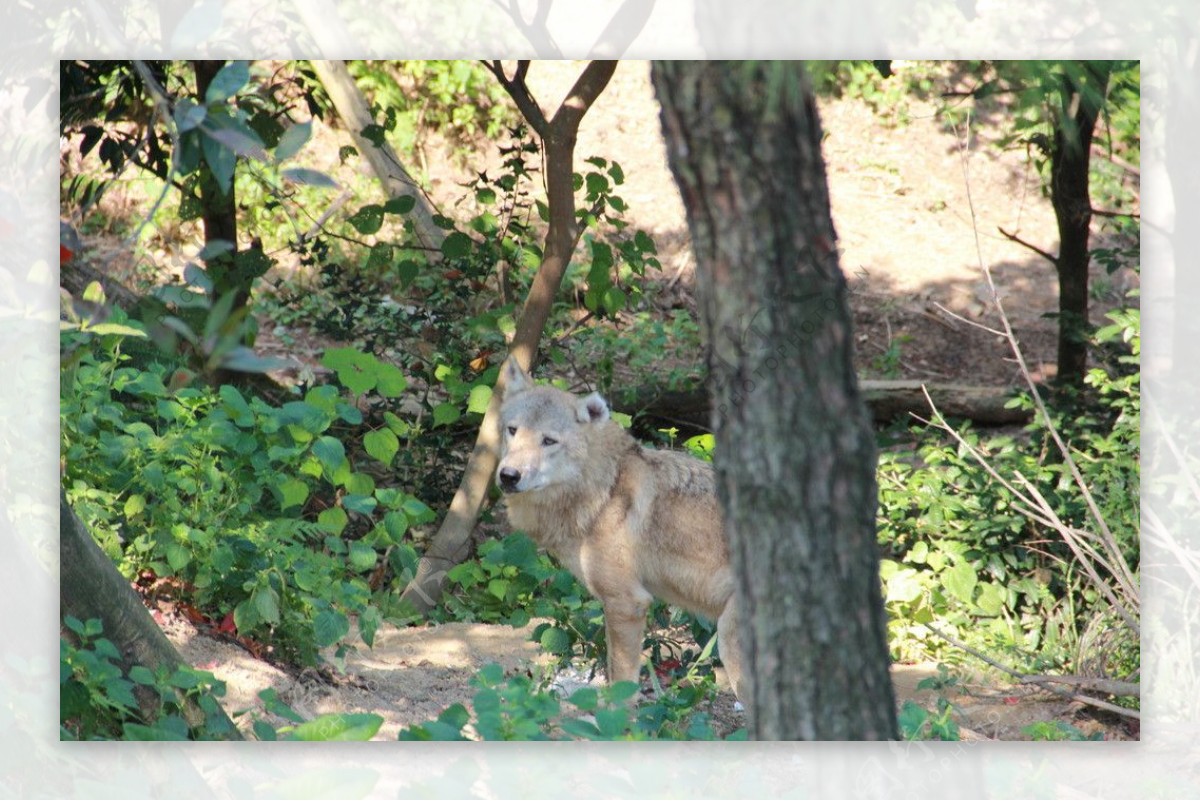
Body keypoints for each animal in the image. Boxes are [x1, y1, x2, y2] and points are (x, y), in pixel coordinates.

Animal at [494, 354, 739, 700]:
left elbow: (620, 690)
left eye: (549, 441)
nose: (508, 475)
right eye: (513, 430)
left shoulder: (626, 604)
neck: (604, 490)